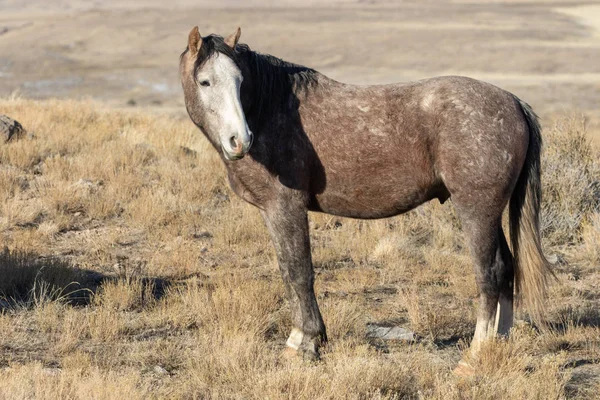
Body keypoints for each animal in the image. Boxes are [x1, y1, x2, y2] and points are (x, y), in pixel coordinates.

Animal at [179, 26, 552, 368]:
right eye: (205, 82)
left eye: (240, 82)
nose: (240, 140)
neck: (272, 109)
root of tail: (513, 102)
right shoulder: (271, 212)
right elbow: (288, 271)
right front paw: (302, 340)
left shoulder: (285, 207)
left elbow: (299, 272)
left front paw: (307, 342)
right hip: (491, 213)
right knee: (506, 268)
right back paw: (498, 344)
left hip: (476, 210)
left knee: (489, 273)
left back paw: (475, 356)